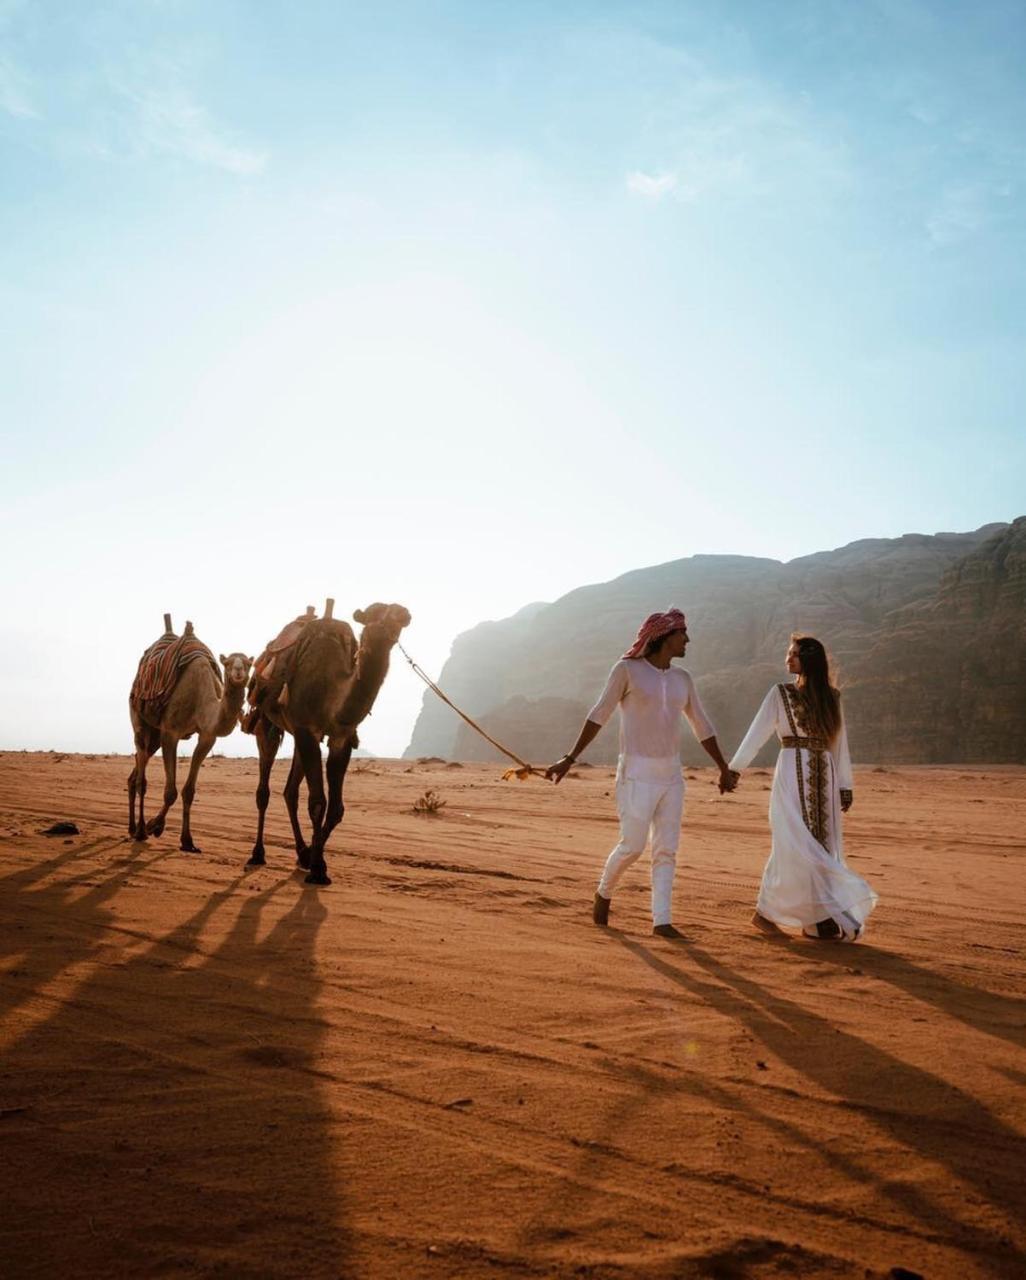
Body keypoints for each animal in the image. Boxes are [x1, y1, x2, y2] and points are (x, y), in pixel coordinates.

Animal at [127, 634, 252, 855]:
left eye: (248, 663)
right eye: (227, 663)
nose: (238, 671)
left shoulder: (207, 737)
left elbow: (189, 792)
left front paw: (187, 841)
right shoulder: (170, 732)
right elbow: (170, 793)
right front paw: (154, 826)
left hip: (155, 737)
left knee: (137, 767)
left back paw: (132, 828)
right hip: (139, 717)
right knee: (141, 771)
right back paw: (141, 830)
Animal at [245, 601, 409, 885]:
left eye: (398, 616)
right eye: (374, 614)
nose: (402, 613)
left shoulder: (340, 738)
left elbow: (336, 808)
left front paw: (315, 857)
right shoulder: (307, 730)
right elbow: (318, 802)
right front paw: (318, 869)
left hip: (296, 735)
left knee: (290, 791)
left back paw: (301, 852)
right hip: (267, 722)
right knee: (264, 789)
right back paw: (258, 853)